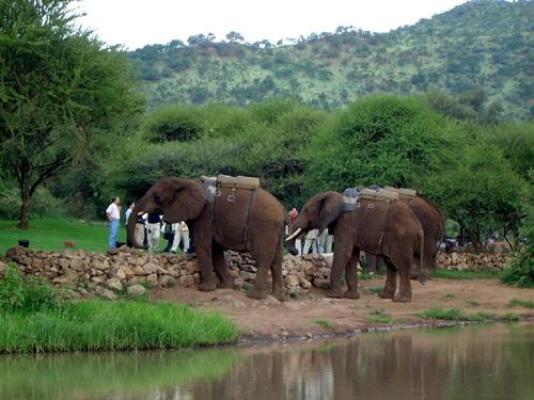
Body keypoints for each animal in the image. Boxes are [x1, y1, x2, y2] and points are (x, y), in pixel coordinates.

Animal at [126, 177, 288, 300]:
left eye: (157, 197)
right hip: (276, 231)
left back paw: (255, 296)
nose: (143, 246)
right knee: (277, 260)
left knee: (263, 258)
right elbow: (215, 250)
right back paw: (278, 296)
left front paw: (205, 289)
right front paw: (225, 286)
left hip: (264, 228)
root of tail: (283, 211)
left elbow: (203, 245)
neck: (186, 181)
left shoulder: (205, 215)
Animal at [288, 192, 428, 302]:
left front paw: (333, 296)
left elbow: (343, 253)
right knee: (391, 264)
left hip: (402, 237)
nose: (295, 251)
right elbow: (352, 257)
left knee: (400, 264)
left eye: (306, 210)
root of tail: (419, 225)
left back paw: (401, 300)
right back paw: (384, 296)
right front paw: (351, 297)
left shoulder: (346, 224)